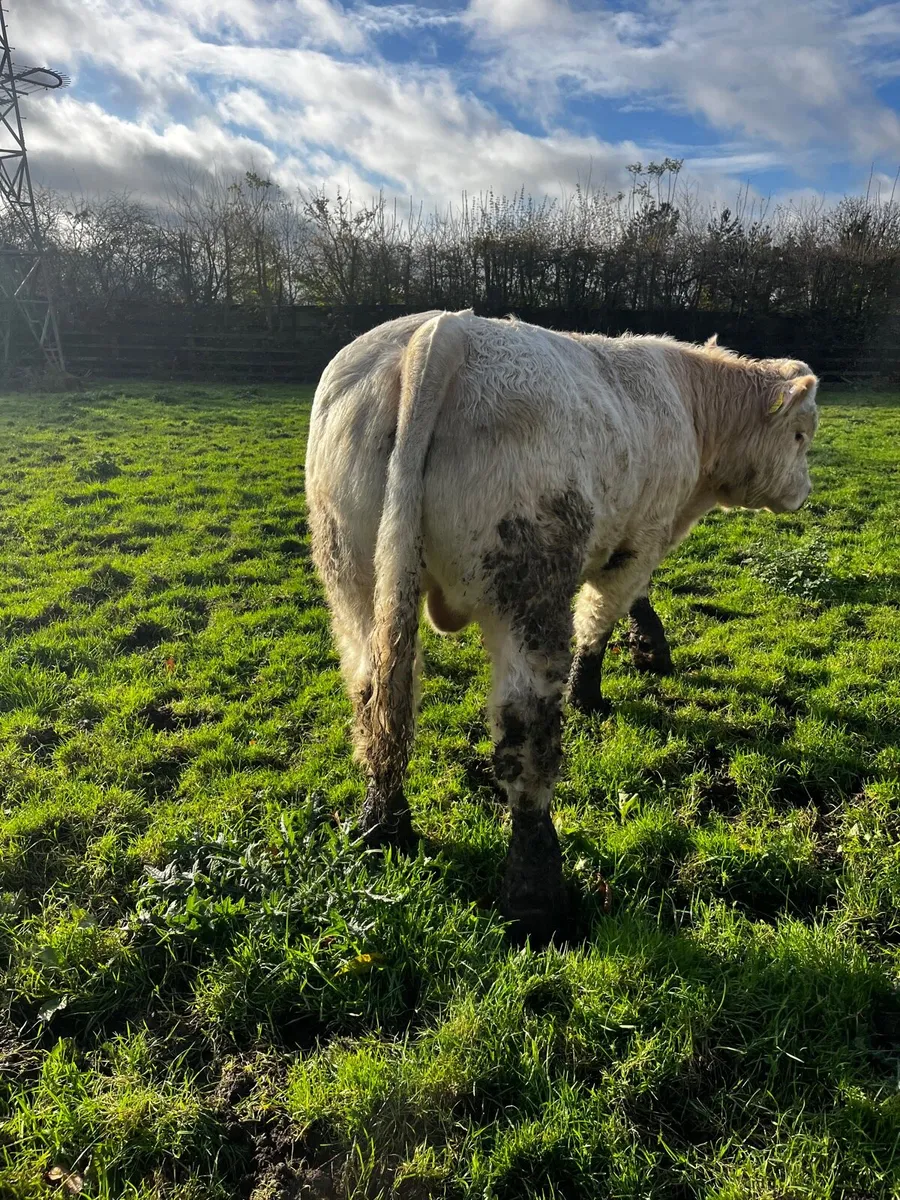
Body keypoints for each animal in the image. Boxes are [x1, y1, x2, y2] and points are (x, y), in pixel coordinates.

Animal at [305, 310, 819, 945]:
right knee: (525, 737)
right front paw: (594, 690)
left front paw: (648, 647)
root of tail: (442, 330)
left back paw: (382, 827)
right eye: (800, 435)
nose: (805, 493)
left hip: (353, 577)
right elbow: (600, 619)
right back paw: (538, 898)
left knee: (375, 694)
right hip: (529, 593)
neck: (691, 405)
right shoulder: (638, 543)